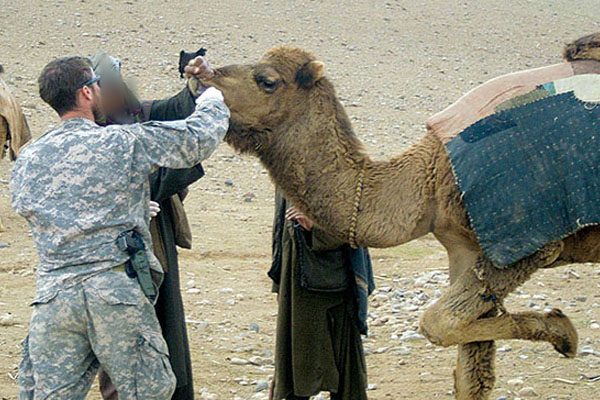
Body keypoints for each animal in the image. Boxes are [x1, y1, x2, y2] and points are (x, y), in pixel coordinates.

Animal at [202, 33, 600, 400]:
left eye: (267, 80)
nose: (201, 73)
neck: (430, 180)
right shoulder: (465, 248)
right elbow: (470, 372)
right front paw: (559, 330)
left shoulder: (523, 240)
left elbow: (438, 323)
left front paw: (564, 333)